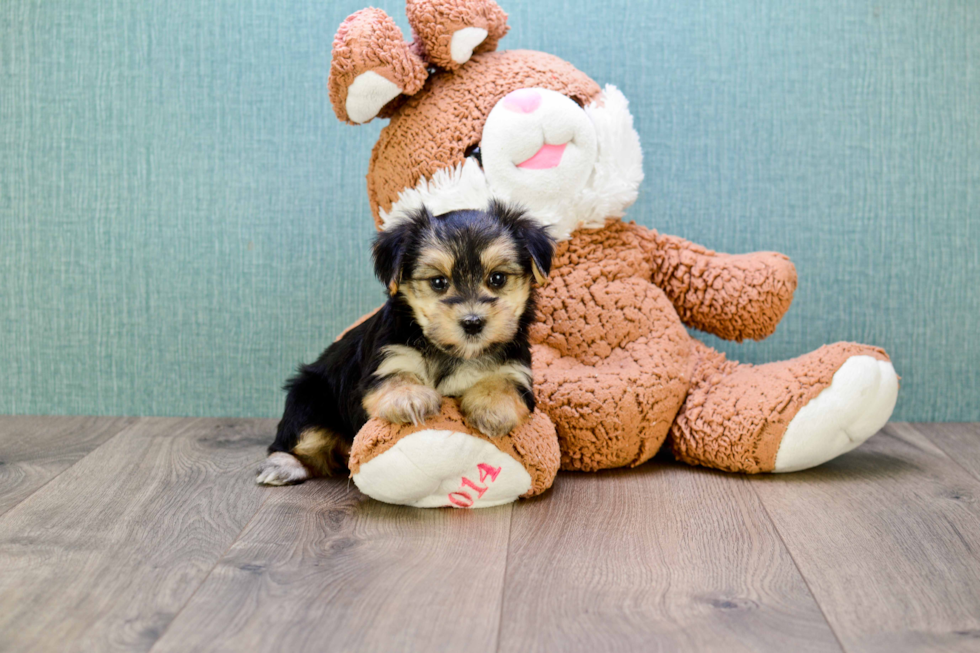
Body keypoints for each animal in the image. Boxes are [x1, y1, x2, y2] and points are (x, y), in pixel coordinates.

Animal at [256, 202, 556, 484]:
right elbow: (397, 377)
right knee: (298, 438)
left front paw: (491, 408)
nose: (472, 322)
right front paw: (410, 398)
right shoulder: (387, 358)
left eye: (497, 278)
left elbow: (504, 384)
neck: (452, 352)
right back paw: (283, 466)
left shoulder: (516, 368)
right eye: (438, 282)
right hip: (308, 399)